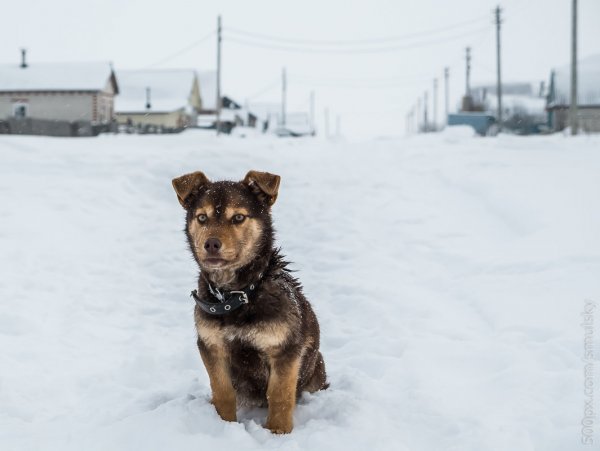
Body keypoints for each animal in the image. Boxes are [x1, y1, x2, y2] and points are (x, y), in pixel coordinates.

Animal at [171, 170, 328, 434]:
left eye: (238, 218)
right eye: (202, 217)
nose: (211, 244)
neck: (236, 295)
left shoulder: (284, 349)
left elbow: (280, 396)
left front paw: (278, 433)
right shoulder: (211, 345)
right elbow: (223, 392)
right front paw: (224, 424)